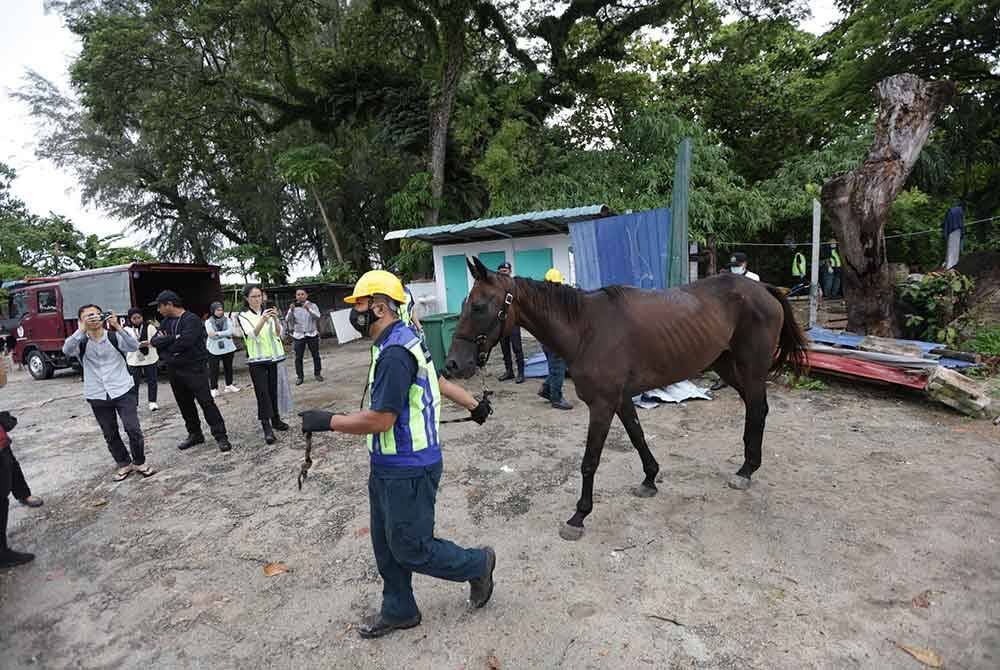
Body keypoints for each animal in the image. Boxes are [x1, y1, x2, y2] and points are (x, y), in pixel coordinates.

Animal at [444, 256, 804, 540]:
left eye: (478, 306)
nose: (453, 364)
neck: (586, 330)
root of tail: (764, 289)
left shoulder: (602, 405)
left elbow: (590, 461)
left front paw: (579, 516)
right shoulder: (620, 399)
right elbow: (637, 436)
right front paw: (650, 478)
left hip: (751, 369)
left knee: (757, 409)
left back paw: (746, 471)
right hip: (727, 366)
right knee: (754, 409)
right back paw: (747, 466)